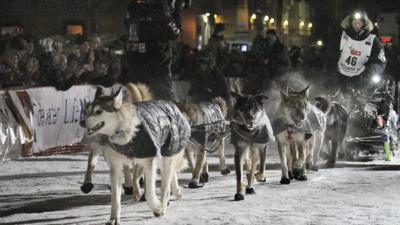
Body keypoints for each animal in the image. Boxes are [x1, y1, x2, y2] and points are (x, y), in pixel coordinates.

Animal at [81, 87, 191, 223]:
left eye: (98, 111)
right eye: (87, 111)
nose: (81, 122)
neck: (123, 132)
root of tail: (172, 104)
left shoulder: (149, 161)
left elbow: (149, 193)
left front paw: (157, 209)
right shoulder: (115, 167)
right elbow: (115, 198)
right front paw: (113, 219)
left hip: (165, 157)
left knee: (165, 187)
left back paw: (164, 204)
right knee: (170, 176)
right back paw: (175, 192)